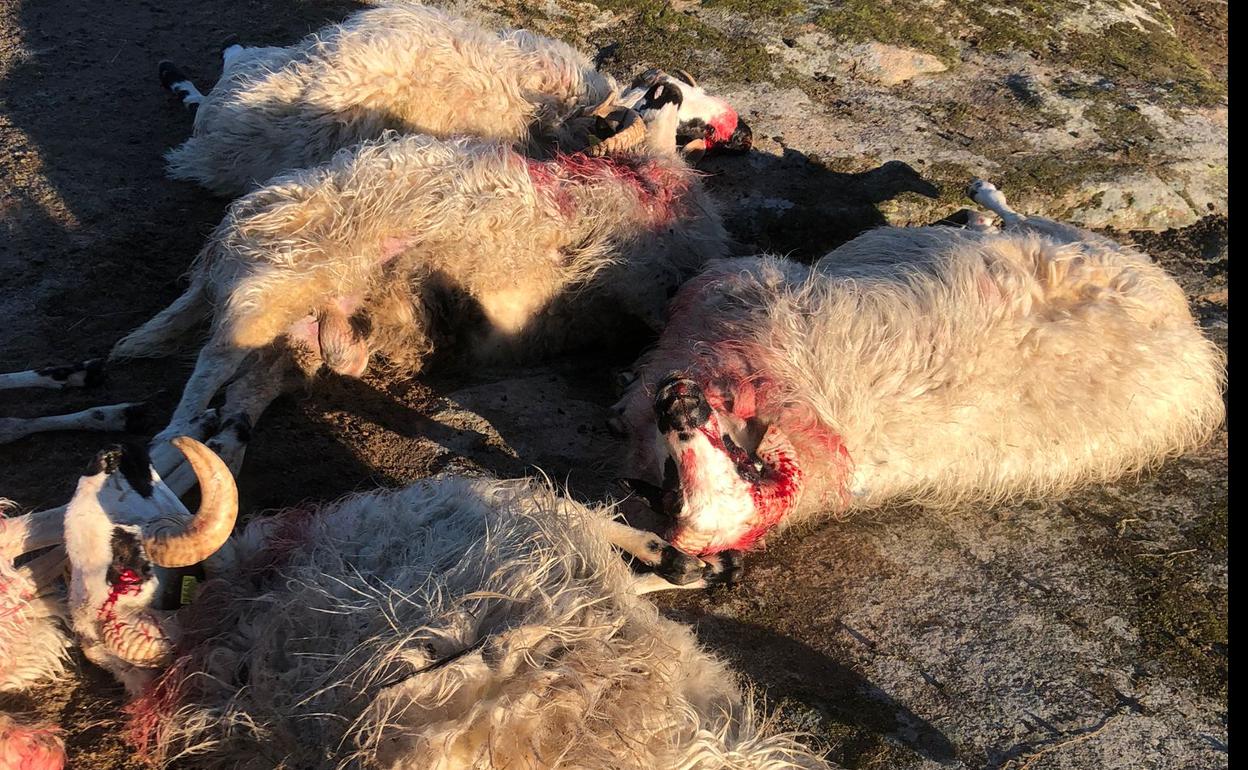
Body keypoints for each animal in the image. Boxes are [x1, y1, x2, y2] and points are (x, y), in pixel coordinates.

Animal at [613, 179, 1226, 574]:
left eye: (734, 465)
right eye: (673, 489)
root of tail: (1186, 324)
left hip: (1092, 247)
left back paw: (982, 200)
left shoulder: (728, 284)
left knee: (1026, 219)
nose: (678, 403)